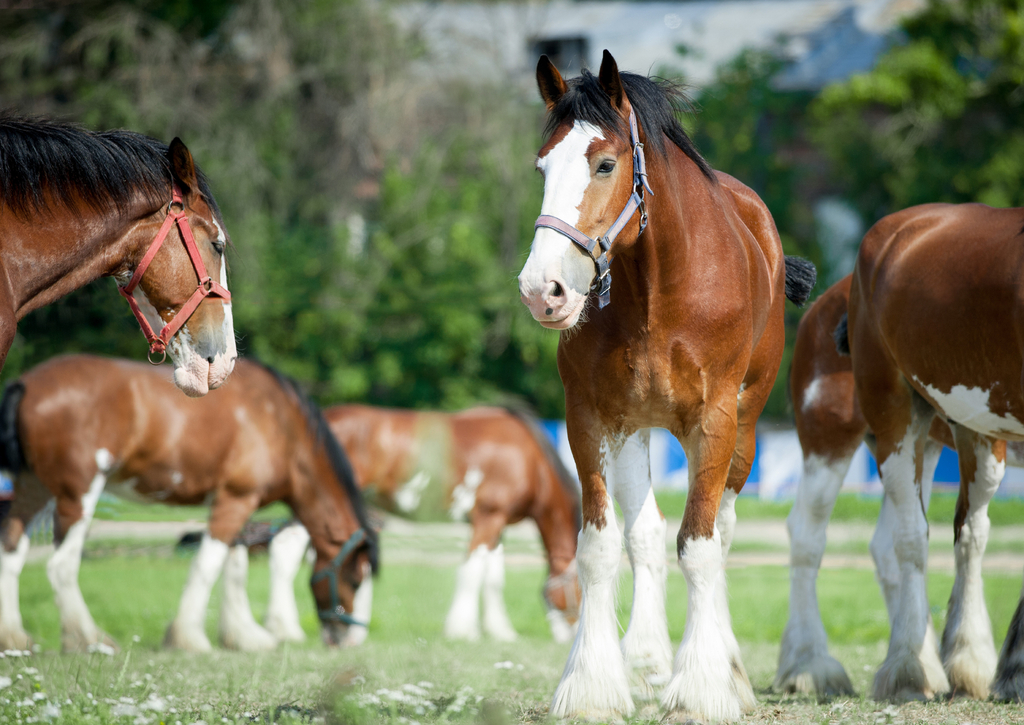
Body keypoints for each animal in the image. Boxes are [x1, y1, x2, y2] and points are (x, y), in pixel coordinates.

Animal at [0, 355, 377, 652]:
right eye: (356, 581)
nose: (352, 640)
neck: (281, 423)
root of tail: (27, 384)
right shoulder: (235, 500)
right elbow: (208, 566)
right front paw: (189, 639)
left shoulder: (237, 504)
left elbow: (234, 565)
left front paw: (242, 635)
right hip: (77, 494)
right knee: (61, 565)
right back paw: (89, 639)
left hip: (33, 488)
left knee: (12, 552)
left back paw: (14, 638)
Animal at [516, 51, 816, 720]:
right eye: (542, 166)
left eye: (605, 164)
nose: (543, 290)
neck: (656, 289)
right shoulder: (593, 420)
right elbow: (601, 547)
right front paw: (592, 685)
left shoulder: (715, 422)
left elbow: (700, 545)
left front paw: (702, 689)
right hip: (636, 431)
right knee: (645, 535)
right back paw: (647, 661)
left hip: (743, 432)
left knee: (719, 535)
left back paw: (727, 672)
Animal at [840, 202, 1024, 702]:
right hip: (895, 415)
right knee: (912, 537)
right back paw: (909, 666)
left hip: (979, 433)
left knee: (970, 534)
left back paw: (965, 660)